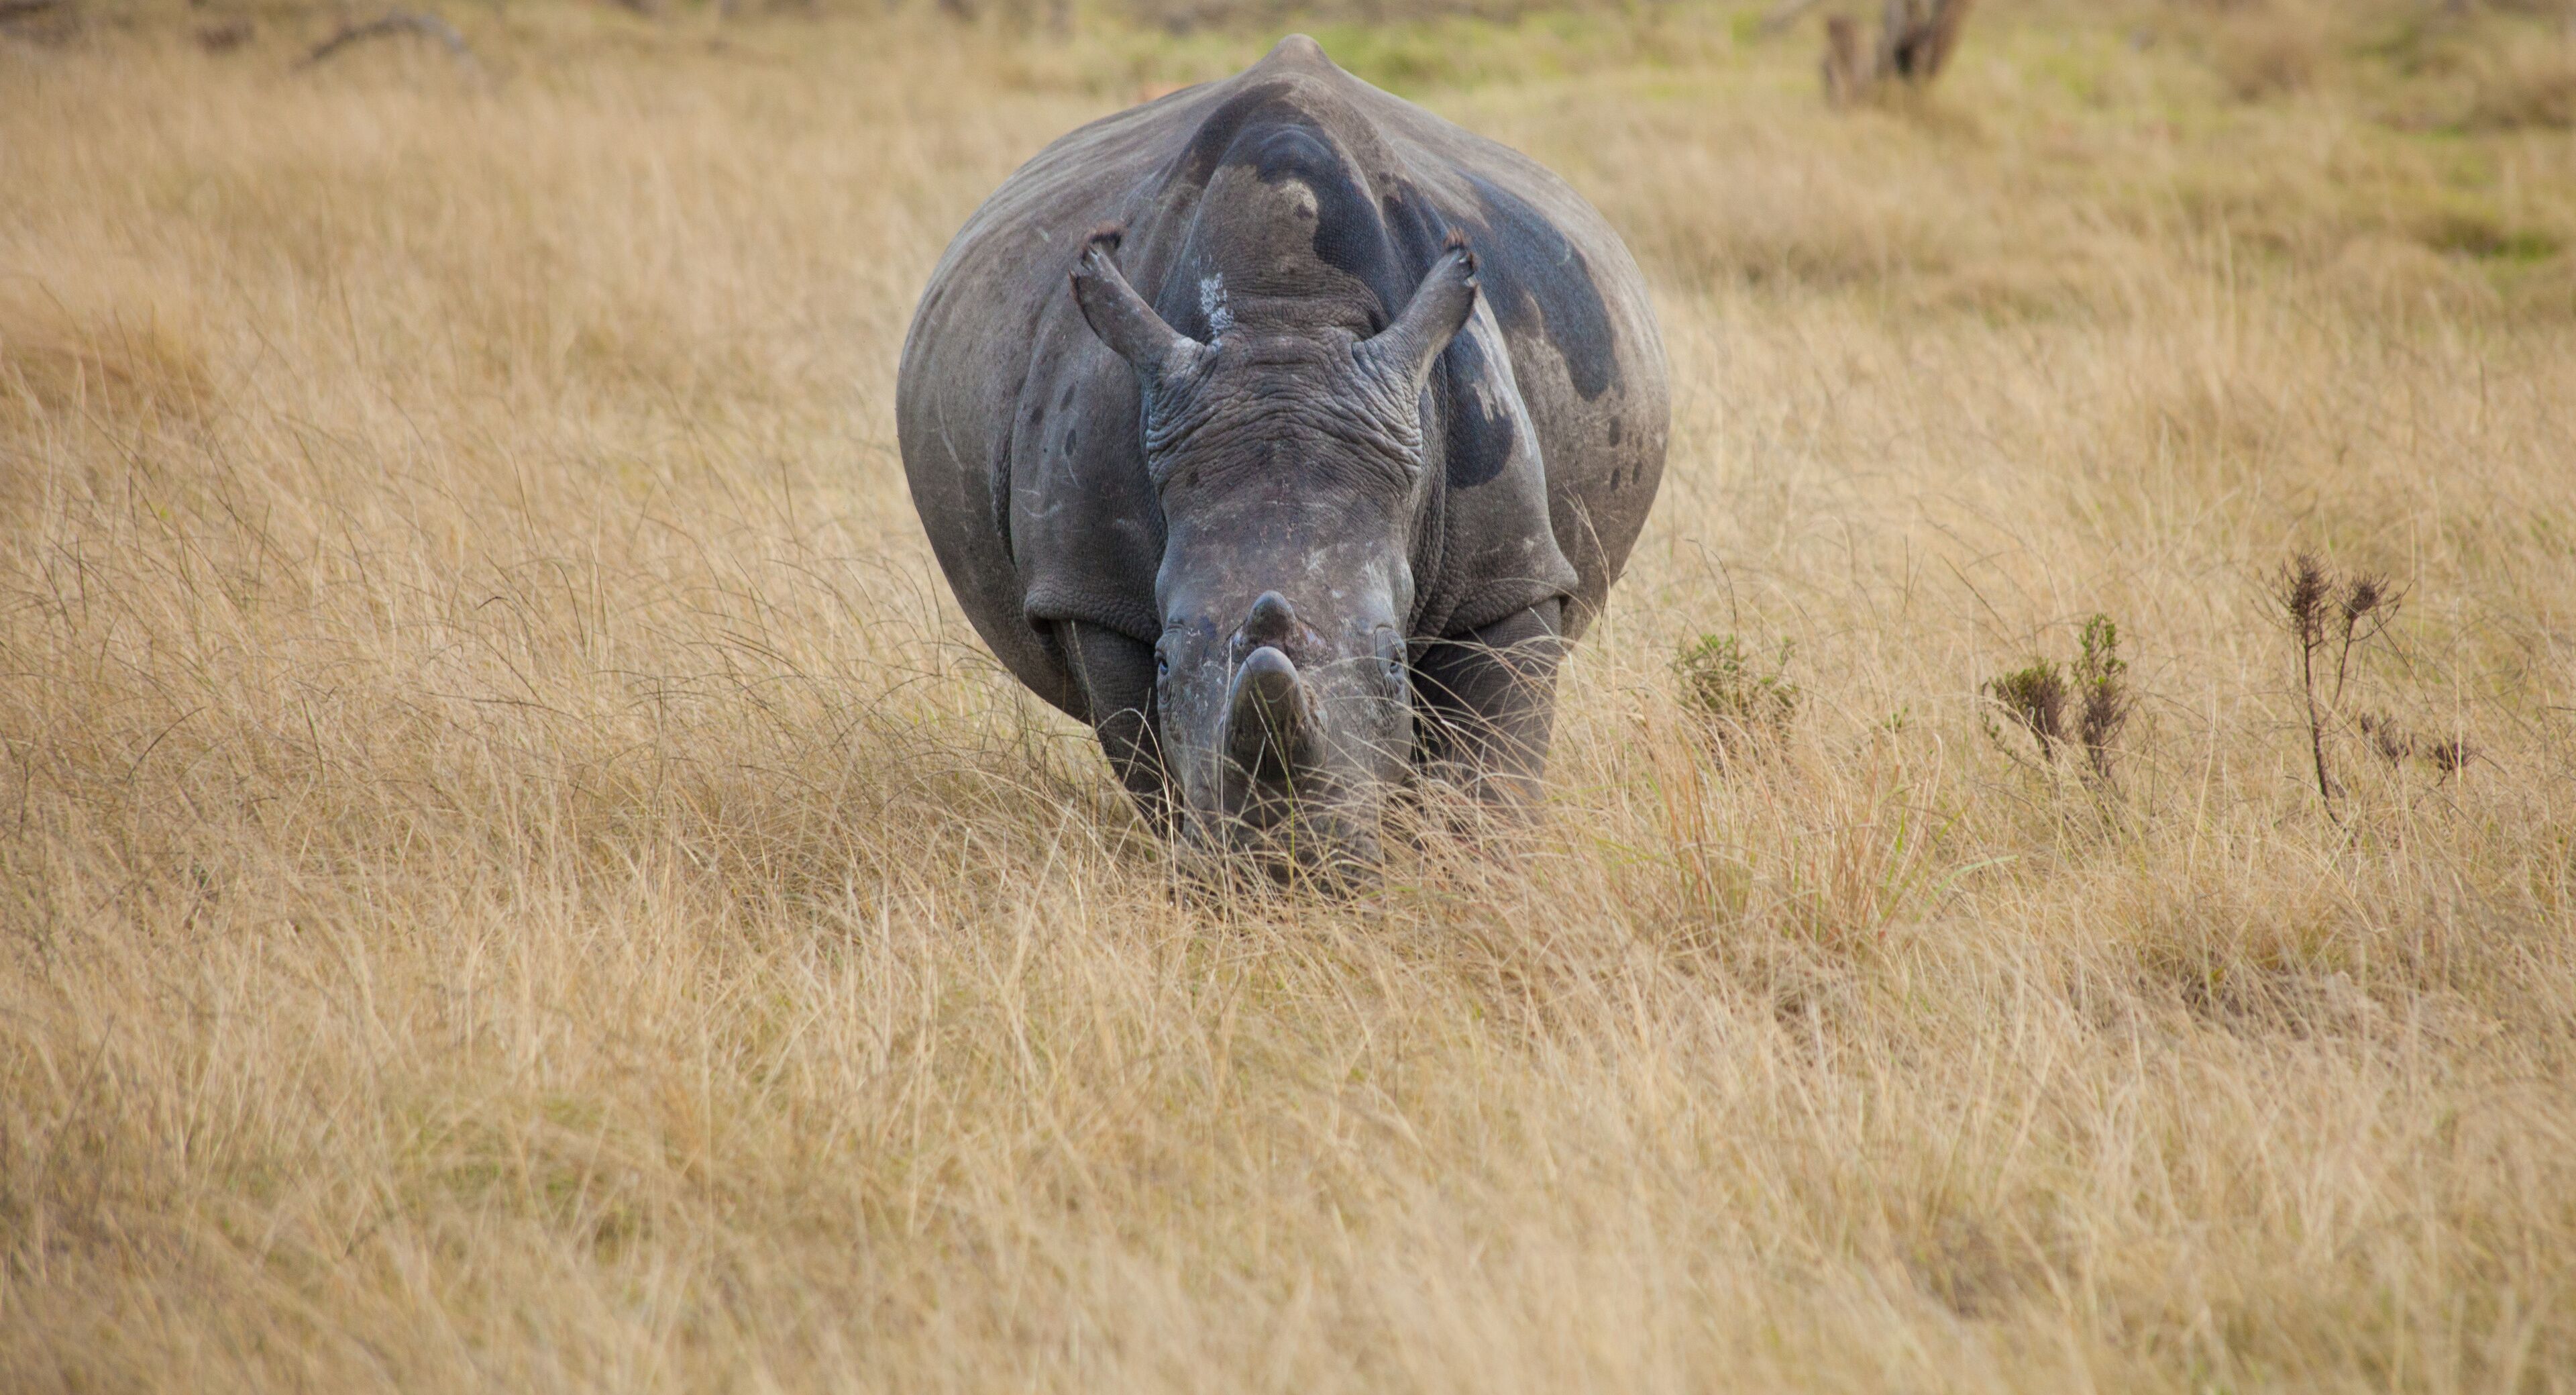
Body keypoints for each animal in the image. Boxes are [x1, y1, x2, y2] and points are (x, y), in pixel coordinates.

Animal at [898, 34, 1667, 877]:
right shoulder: (1090, 591)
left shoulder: (1508, 575)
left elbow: (1491, 777)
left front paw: (1471, 884)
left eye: (1394, 661)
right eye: (1164, 660)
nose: (1285, 868)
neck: (1285, 320)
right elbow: (1152, 758)